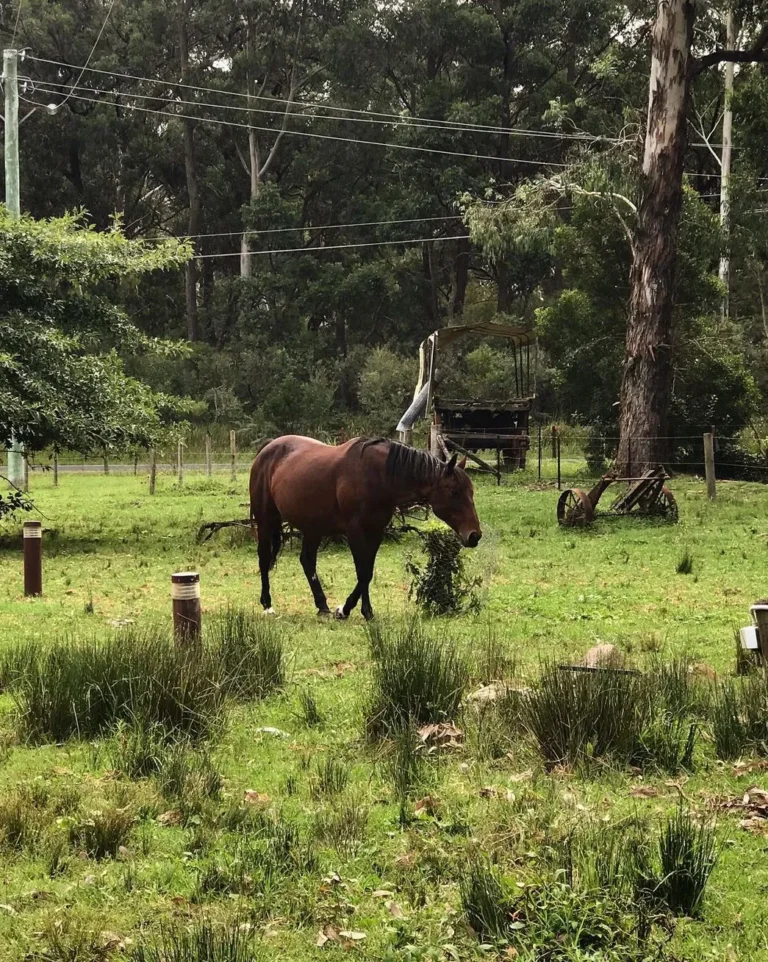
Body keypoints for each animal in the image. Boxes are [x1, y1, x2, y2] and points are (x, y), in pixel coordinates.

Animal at [249, 435, 482, 621]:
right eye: (453, 492)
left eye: (471, 491)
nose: (474, 535)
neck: (379, 476)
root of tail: (268, 448)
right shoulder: (355, 532)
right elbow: (362, 572)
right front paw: (355, 611)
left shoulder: (375, 531)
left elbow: (367, 572)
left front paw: (353, 610)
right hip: (266, 520)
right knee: (264, 558)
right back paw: (267, 605)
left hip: (313, 528)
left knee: (307, 561)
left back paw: (322, 606)